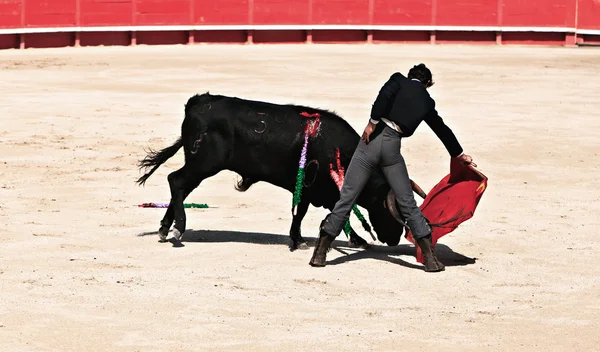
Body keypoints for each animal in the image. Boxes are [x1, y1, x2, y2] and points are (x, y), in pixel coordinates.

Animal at [137, 91, 420, 250]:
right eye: (390, 210)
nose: (395, 239)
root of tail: (197, 102)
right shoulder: (311, 187)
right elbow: (308, 213)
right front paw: (299, 241)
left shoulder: (320, 191)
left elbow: (334, 211)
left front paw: (355, 240)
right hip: (204, 163)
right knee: (177, 181)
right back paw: (178, 229)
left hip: (199, 165)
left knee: (181, 187)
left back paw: (165, 229)